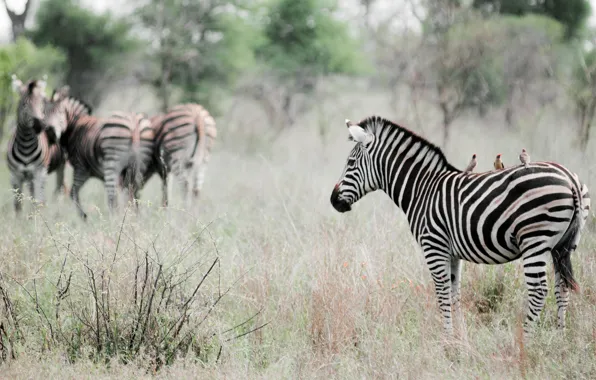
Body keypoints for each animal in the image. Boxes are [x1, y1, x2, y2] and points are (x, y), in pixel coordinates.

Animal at [6, 74, 68, 211]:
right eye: (24, 104)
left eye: (41, 105)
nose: (39, 126)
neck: (25, 145)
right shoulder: (15, 175)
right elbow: (18, 205)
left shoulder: (39, 173)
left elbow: (39, 202)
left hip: (61, 165)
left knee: (61, 190)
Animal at [45, 90, 155, 218]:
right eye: (44, 113)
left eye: (59, 113)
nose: (50, 132)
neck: (75, 126)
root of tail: (134, 122)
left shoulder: (81, 168)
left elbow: (73, 192)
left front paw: (84, 217)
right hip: (140, 164)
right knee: (134, 193)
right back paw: (133, 218)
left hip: (112, 162)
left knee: (113, 197)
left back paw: (113, 219)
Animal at [330, 116, 592, 336]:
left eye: (350, 162)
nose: (333, 201)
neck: (422, 189)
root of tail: (570, 179)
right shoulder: (452, 252)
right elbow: (455, 292)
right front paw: (460, 338)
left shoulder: (433, 245)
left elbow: (442, 293)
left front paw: (446, 340)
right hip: (564, 244)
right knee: (562, 288)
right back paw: (559, 337)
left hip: (535, 239)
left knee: (539, 291)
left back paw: (525, 340)